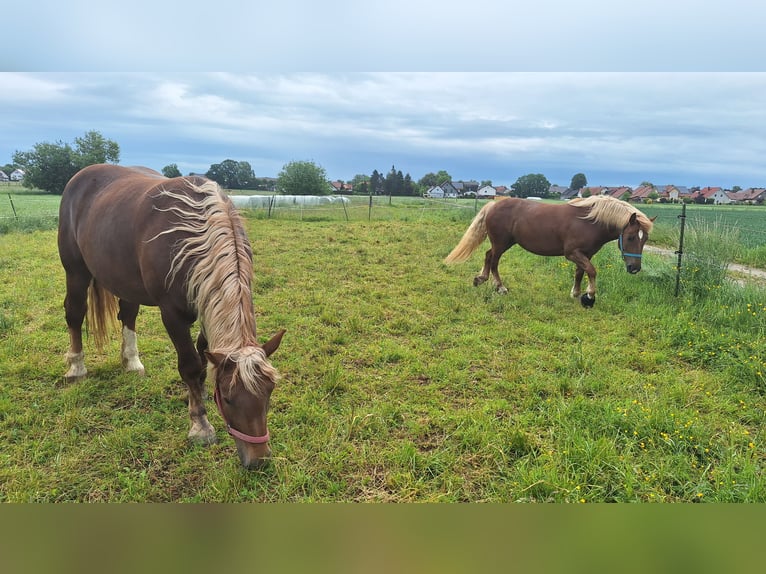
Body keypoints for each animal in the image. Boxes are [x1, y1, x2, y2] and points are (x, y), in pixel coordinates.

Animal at [58, 164, 285, 469]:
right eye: (228, 399)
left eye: (269, 392)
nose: (258, 460)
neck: (193, 235)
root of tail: (81, 176)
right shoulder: (172, 315)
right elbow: (189, 364)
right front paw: (200, 425)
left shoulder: (204, 304)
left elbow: (203, 356)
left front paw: (199, 391)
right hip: (76, 271)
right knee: (75, 313)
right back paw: (76, 367)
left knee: (128, 315)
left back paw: (131, 362)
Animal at [444, 195, 655, 307]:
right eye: (630, 237)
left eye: (645, 239)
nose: (635, 268)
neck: (590, 221)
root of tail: (494, 204)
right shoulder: (572, 253)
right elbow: (592, 271)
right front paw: (589, 296)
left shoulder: (585, 254)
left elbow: (581, 272)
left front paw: (576, 293)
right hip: (501, 243)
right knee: (493, 260)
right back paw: (500, 287)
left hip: (505, 242)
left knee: (488, 256)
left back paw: (481, 279)